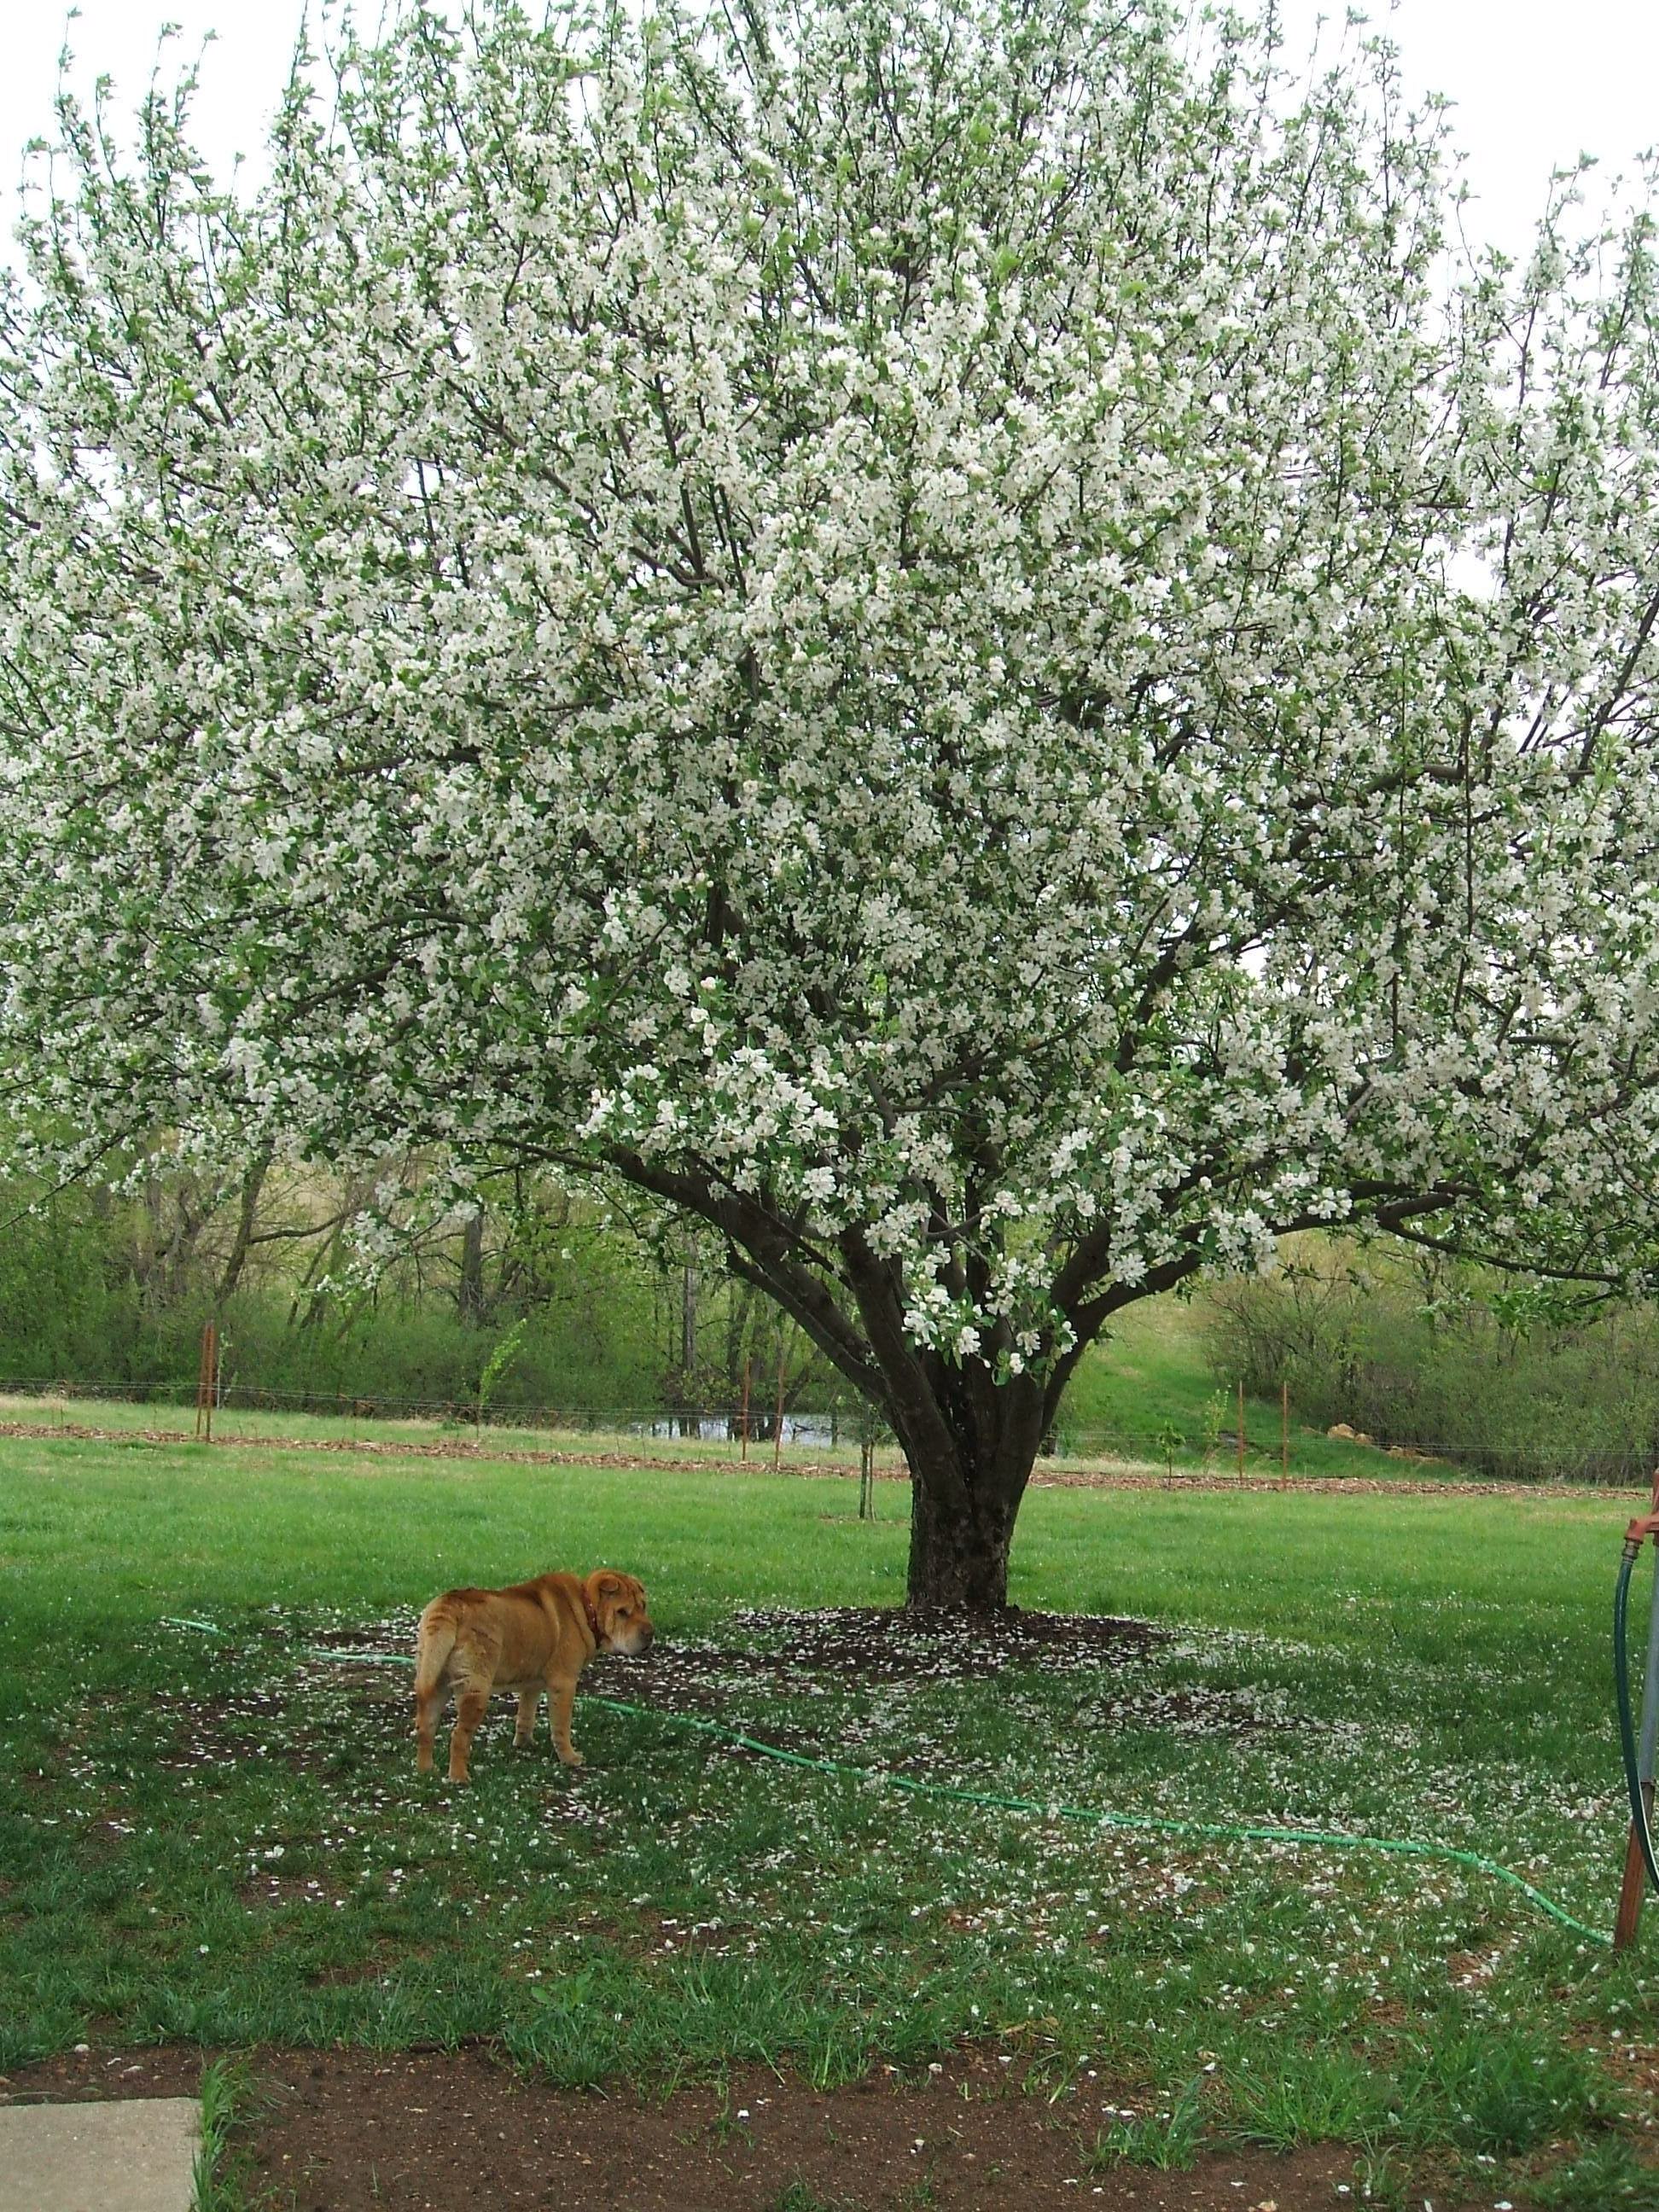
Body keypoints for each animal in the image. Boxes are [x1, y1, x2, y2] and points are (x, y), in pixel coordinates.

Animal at [413, 1575, 655, 1778]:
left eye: (643, 1606)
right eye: (622, 1612)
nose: (650, 1633)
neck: (586, 1610)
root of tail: (448, 1603)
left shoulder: (533, 1684)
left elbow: (526, 1715)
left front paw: (524, 1743)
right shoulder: (564, 1683)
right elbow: (561, 1726)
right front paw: (570, 1758)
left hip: (435, 1681)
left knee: (425, 1727)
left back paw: (426, 1770)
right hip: (475, 1688)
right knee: (459, 1736)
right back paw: (459, 1778)